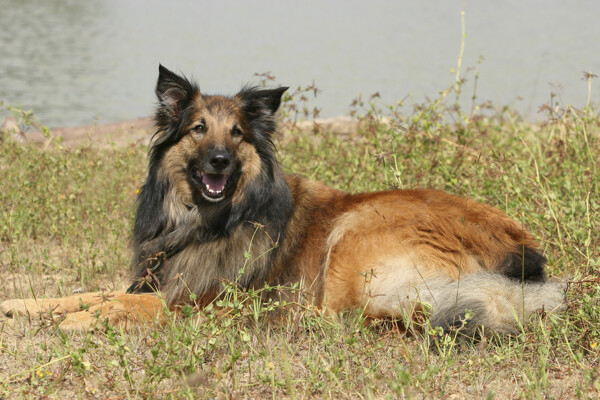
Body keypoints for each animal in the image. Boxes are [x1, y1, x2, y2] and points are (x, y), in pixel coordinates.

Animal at [0, 66, 564, 334]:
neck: (204, 221)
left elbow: (118, 303)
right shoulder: (154, 279)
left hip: (354, 231)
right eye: (199, 129)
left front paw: (78, 322)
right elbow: (83, 292)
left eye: (237, 134)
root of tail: (522, 254)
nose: (219, 162)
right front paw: (23, 306)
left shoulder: (197, 298)